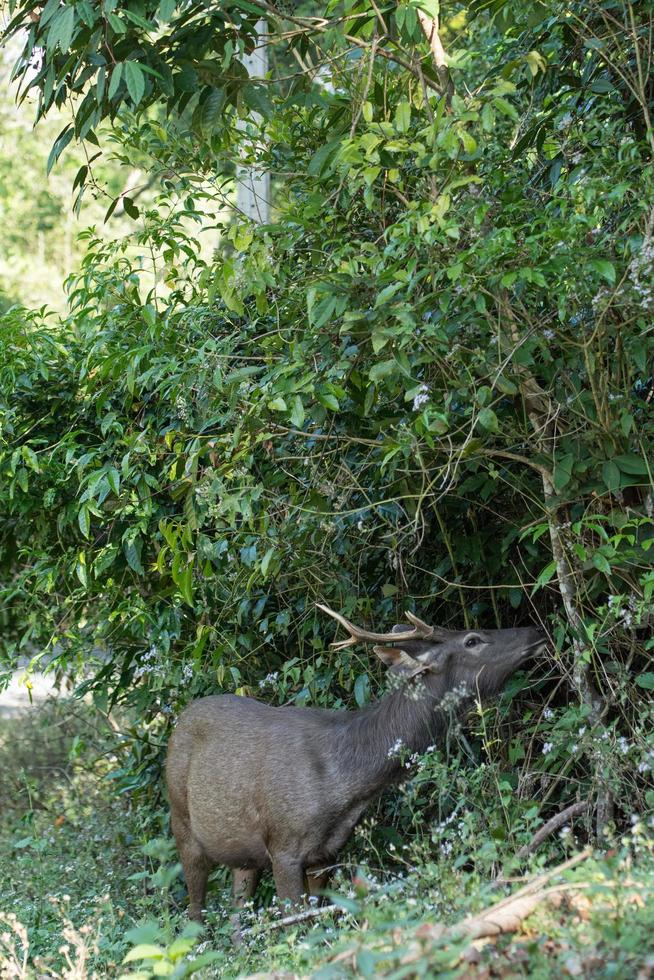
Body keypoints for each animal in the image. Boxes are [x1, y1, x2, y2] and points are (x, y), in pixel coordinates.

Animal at [165, 600, 548, 924]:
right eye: (472, 640)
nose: (536, 630)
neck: (343, 784)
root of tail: (179, 720)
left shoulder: (327, 852)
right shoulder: (283, 844)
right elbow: (294, 924)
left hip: (241, 853)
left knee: (235, 917)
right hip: (181, 820)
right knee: (195, 912)